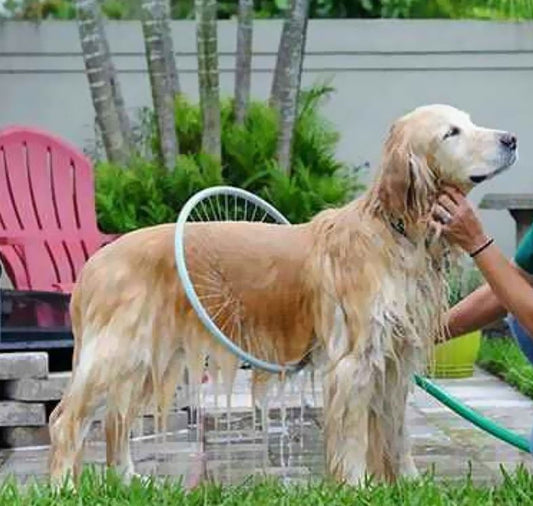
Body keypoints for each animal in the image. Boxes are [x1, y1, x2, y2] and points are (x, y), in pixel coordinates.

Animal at [48, 104, 516, 486]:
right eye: (451, 132)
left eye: (471, 121)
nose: (511, 139)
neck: (395, 230)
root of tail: (95, 262)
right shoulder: (353, 361)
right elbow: (353, 438)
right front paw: (358, 486)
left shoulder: (395, 360)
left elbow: (396, 433)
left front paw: (408, 483)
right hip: (118, 354)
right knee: (65, 419)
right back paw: (64, 487)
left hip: (146, 360)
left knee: (115, 422)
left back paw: (128, 479)